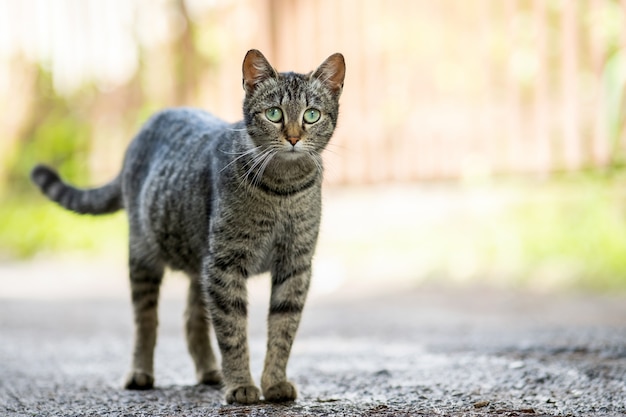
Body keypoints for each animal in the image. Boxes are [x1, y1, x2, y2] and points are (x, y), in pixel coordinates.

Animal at [30, 48, 346, 404]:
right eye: (274, 114)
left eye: (311, 115)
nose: (293, 137)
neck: (283, 190)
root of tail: (152, 122)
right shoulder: (226, 264)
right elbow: (233, 331)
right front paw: (241, 384)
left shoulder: (294, 265)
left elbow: (283, 328)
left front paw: (274, 382)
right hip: (146, 257)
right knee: (146, 321)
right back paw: (141, 372)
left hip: (201, 263)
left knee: (192, 319)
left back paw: (210, 371)